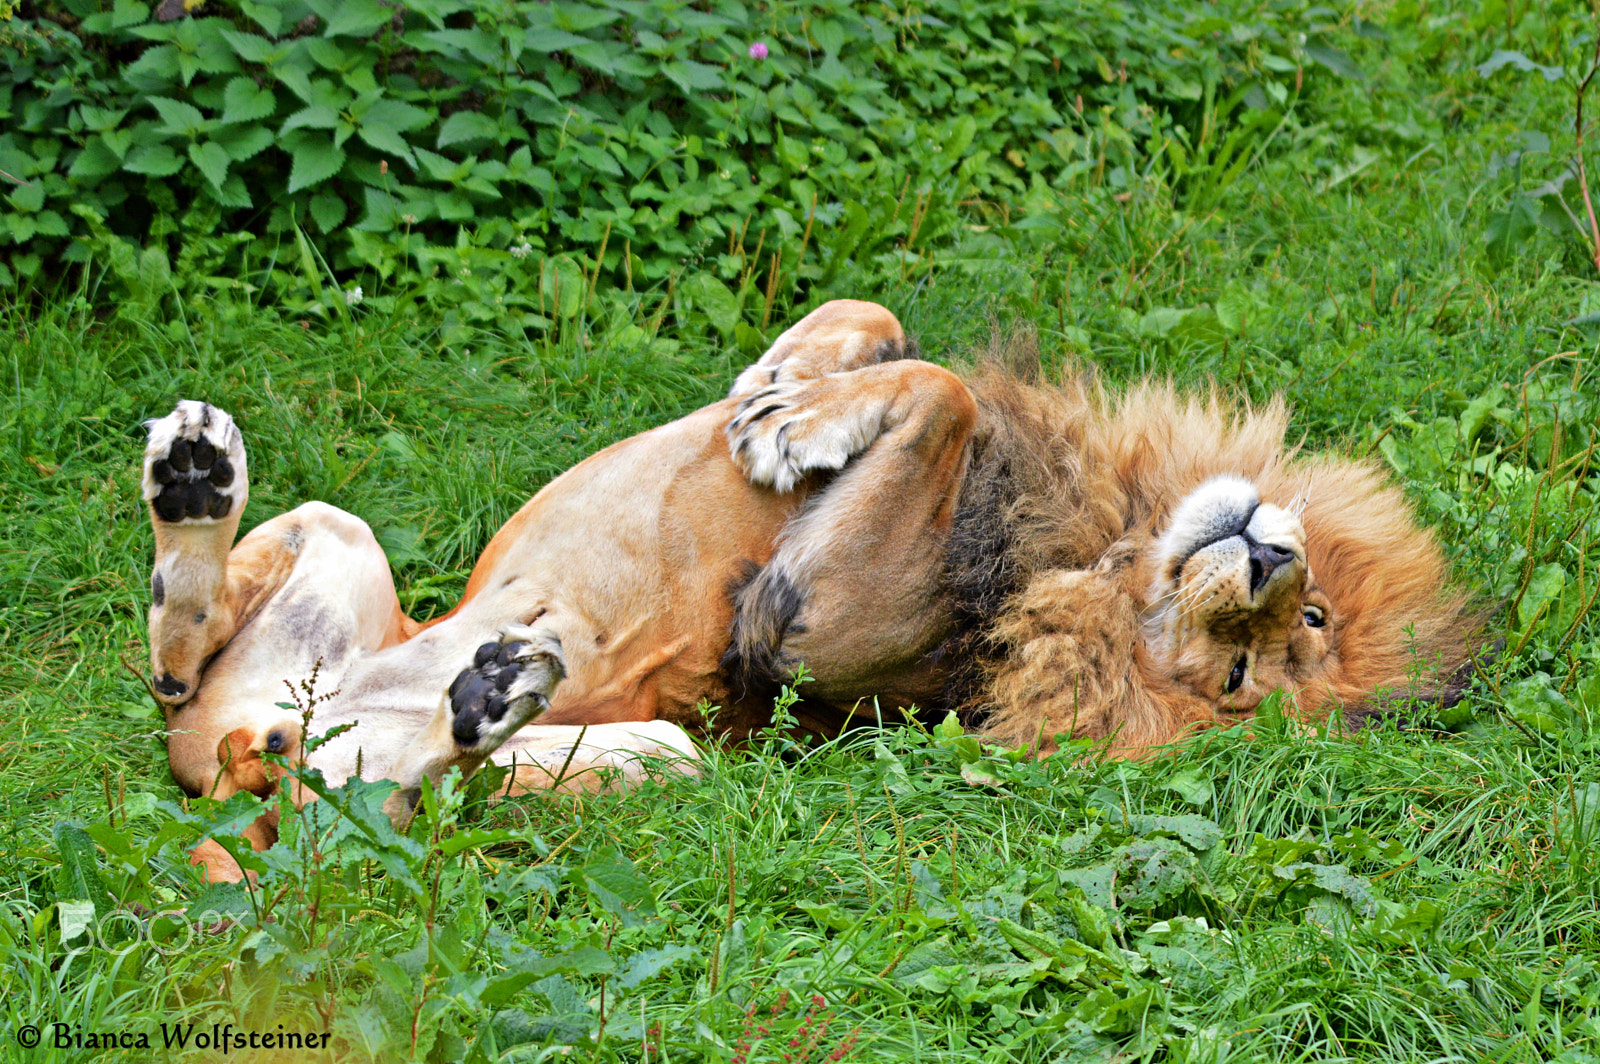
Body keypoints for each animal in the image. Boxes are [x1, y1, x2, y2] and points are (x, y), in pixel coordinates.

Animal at [140, 300, 1474, 880]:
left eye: (1243, 671)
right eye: (1301, 623)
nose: (1267, 560)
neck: (1086, 537)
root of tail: (254, 760)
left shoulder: (805, 625)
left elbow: (942, 391)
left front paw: (791, 420)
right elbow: (883, 326)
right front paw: (782, 381)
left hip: (667, 754)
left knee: (396, 799)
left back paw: (487, 693)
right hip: (339, 546)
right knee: (183, 665)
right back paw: (196, 482)